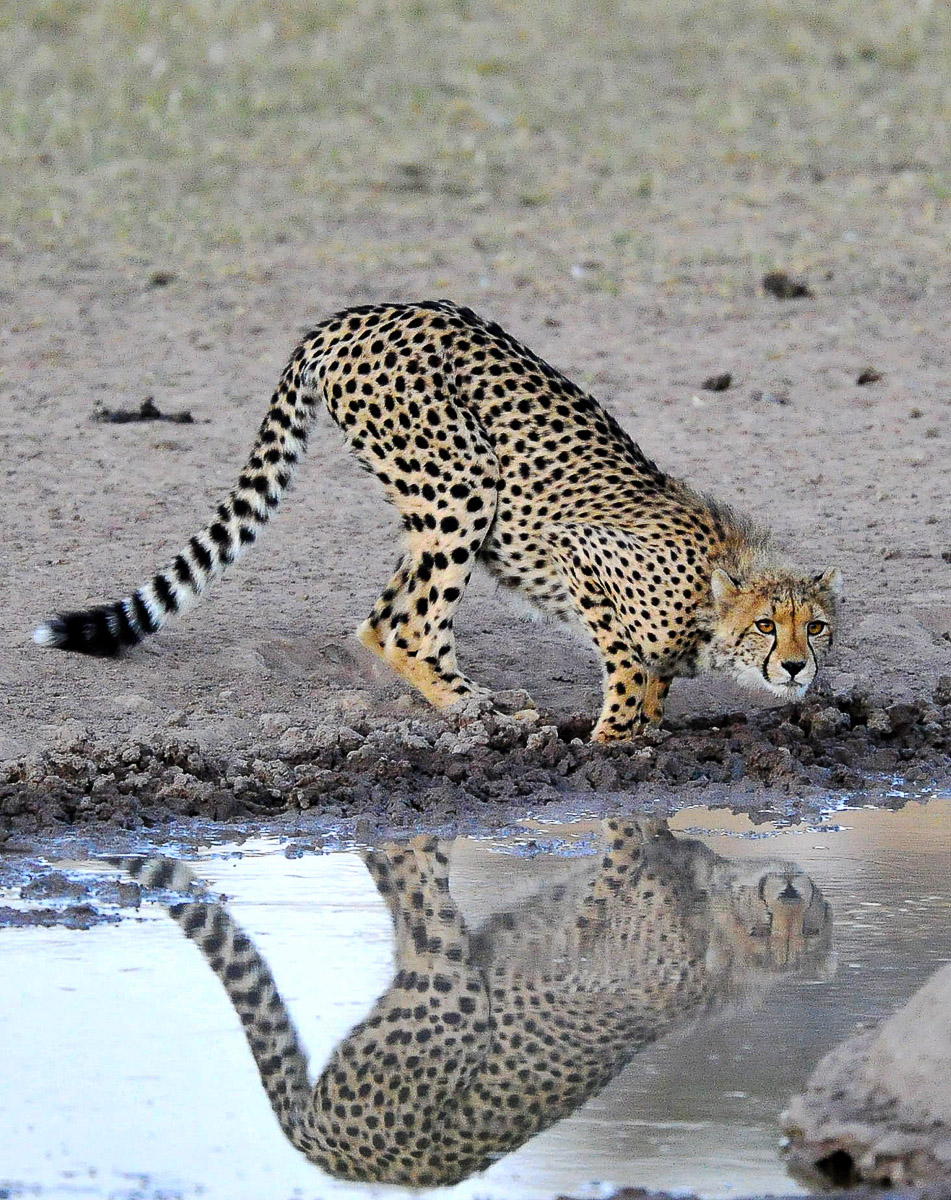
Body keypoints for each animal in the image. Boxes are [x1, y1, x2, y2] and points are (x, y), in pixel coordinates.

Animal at [34, 300, 841, 741]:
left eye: (818, 626)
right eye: (766, 626)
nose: (796, 666)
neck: (713, 594)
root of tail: (358, 314)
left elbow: (655, 683)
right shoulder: (582, 554)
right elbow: (627, 667)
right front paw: (614, 741)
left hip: (432, 504)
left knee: (379, 621)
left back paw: (474, 700)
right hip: (463, 484)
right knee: (406, 626)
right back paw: (471, 709)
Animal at [116, 819, 832, 1187]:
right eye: (797, 916)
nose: (790, 891)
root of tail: (318, 1147)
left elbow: (621, 843)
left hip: (447, 992)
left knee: (418, 896)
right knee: (406, 892)